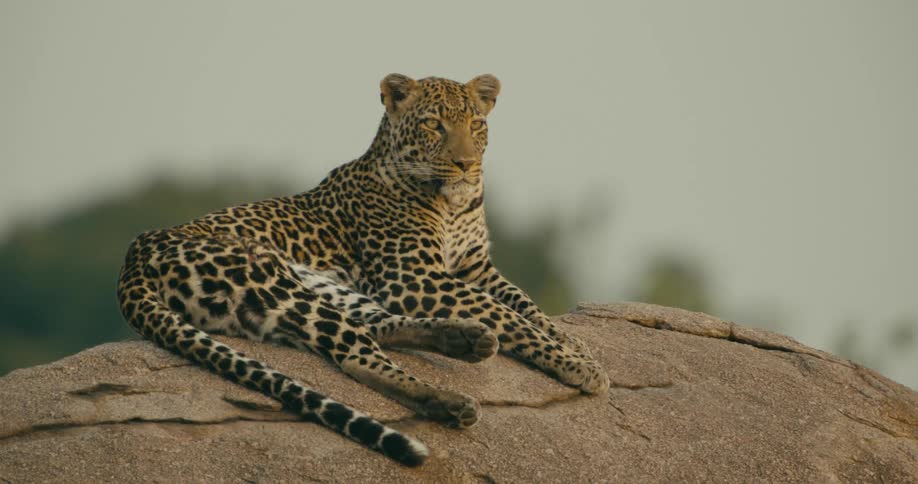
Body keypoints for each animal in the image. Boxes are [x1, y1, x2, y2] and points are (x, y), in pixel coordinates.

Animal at [117, 73, 610, 467]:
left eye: (476, 124)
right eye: (433, 124)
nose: (466, 163)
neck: (453, 203)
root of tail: (134, 256)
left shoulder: (475, 267)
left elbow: (524, 304)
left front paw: (577, 346)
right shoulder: (413, 276)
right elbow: (506, 313)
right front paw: (576, 366)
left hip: (320, 285)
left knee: (372, 326)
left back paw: (465, 339)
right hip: (274, 284)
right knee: (355, 353)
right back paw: (451, 400)